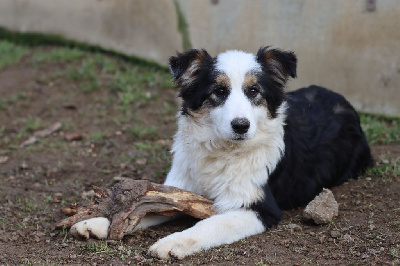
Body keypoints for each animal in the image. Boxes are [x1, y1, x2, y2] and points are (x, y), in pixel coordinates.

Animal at [69, 46, 372, 260]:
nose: (241, 125)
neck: (221, 151)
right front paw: (98, 223)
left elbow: (209, 225)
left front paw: (172, 242)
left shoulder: (260, 208)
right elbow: (145, 207)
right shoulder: (179, 191)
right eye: (219, 91)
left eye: (254, 90)